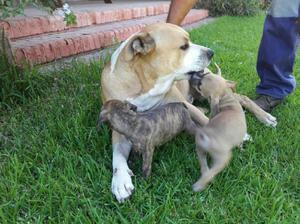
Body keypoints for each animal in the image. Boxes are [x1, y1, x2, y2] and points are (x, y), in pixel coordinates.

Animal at [101, 22, 213, 203]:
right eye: (184, 46)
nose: (211, 52)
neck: (144, 84)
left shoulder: (183, 104)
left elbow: (205, 120)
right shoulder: (119, 127)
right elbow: (117, 154)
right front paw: (121, 180)